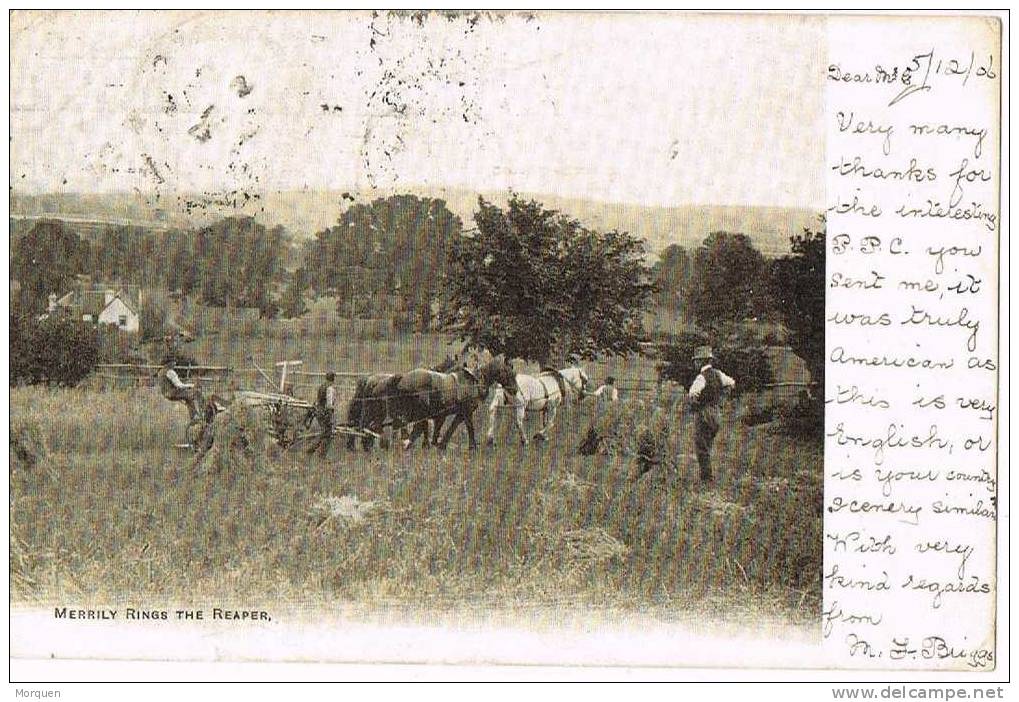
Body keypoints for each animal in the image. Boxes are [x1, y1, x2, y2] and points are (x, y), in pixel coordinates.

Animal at [389, 352, 517, 452]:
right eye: (509, 372)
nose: (515, 390)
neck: (475, 381)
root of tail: (402, 380)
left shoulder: (460, 414)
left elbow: (452, 427)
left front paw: (441, 446)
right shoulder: (467, 412)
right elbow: (470, 427)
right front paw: (472, 448)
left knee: (408, 427)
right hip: (417, 412)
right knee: (411, 427)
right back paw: (406, 445)